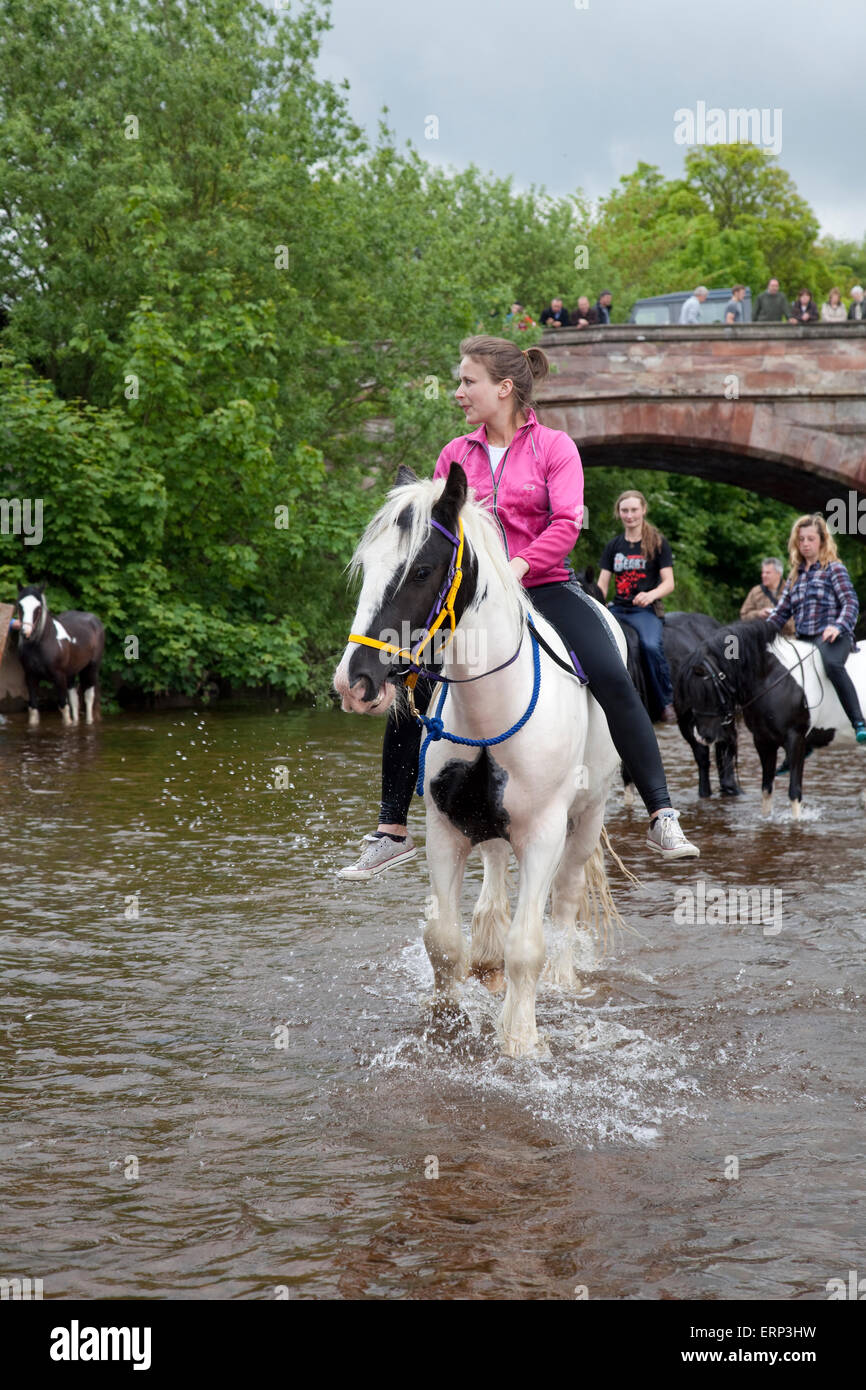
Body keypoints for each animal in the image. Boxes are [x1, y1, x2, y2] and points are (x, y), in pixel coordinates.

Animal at [335, 461, 625, 1056]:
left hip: (588, 816)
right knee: (493, 870)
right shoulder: (446, 829)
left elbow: (527, 945)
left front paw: (519, 1039)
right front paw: (447, 1015)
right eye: (367, 567)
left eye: (421, 571)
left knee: (566, 899)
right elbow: (443, 939)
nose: (355, 683)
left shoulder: (543, 834)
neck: (493, 708)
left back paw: (562, 979)